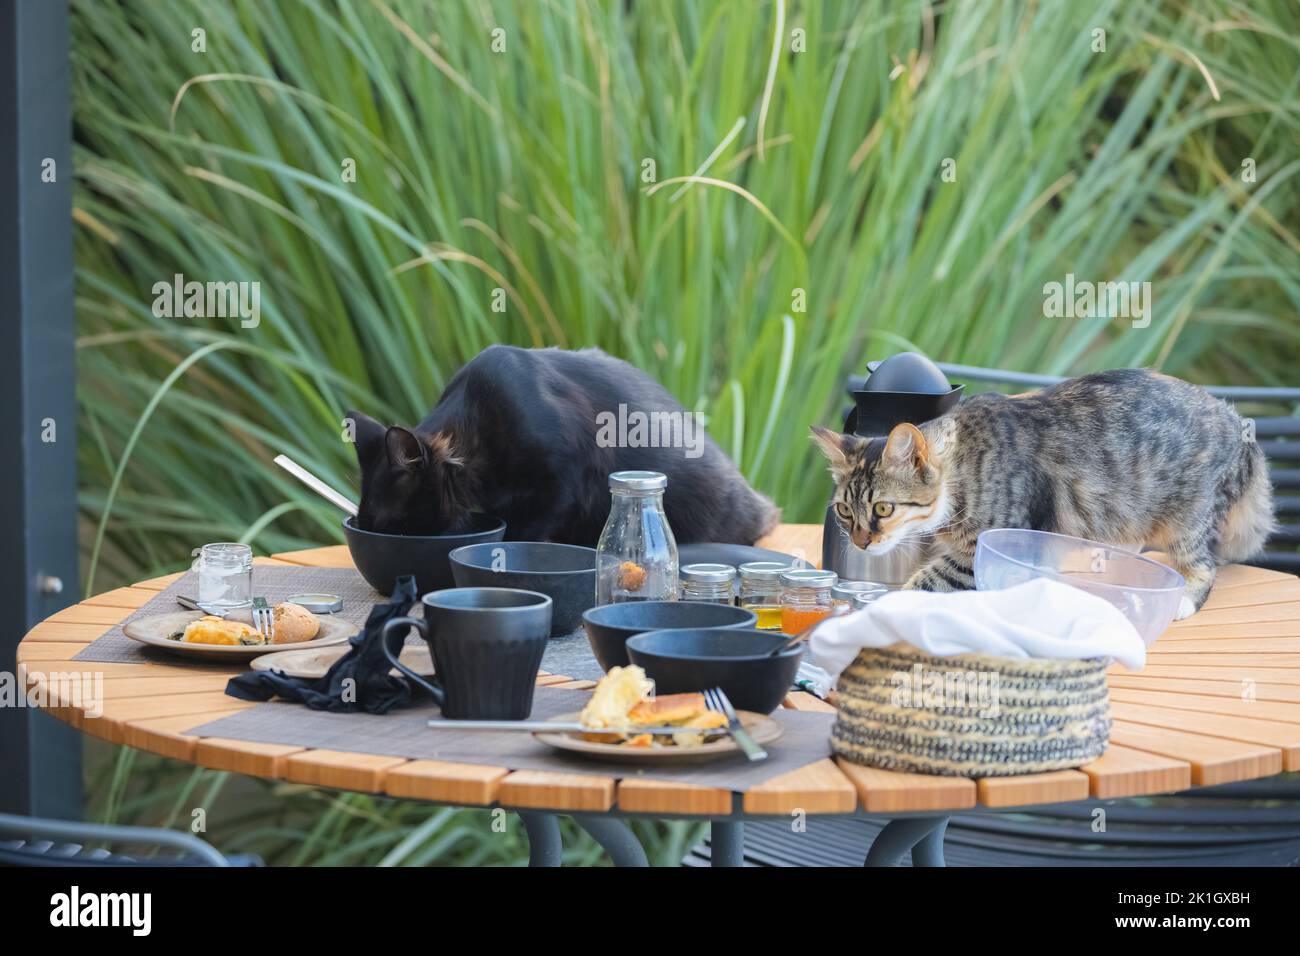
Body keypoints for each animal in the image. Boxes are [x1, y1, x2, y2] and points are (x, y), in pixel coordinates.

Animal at [816, 369, 1274, 616]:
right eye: (844, 511)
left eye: (883, 508)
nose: (860, 542)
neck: (964, 468)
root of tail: (1237, 421)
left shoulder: (979, 550)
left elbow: (923, 583)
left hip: (1188, 521)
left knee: (1203, 567)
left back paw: (1181, 601)